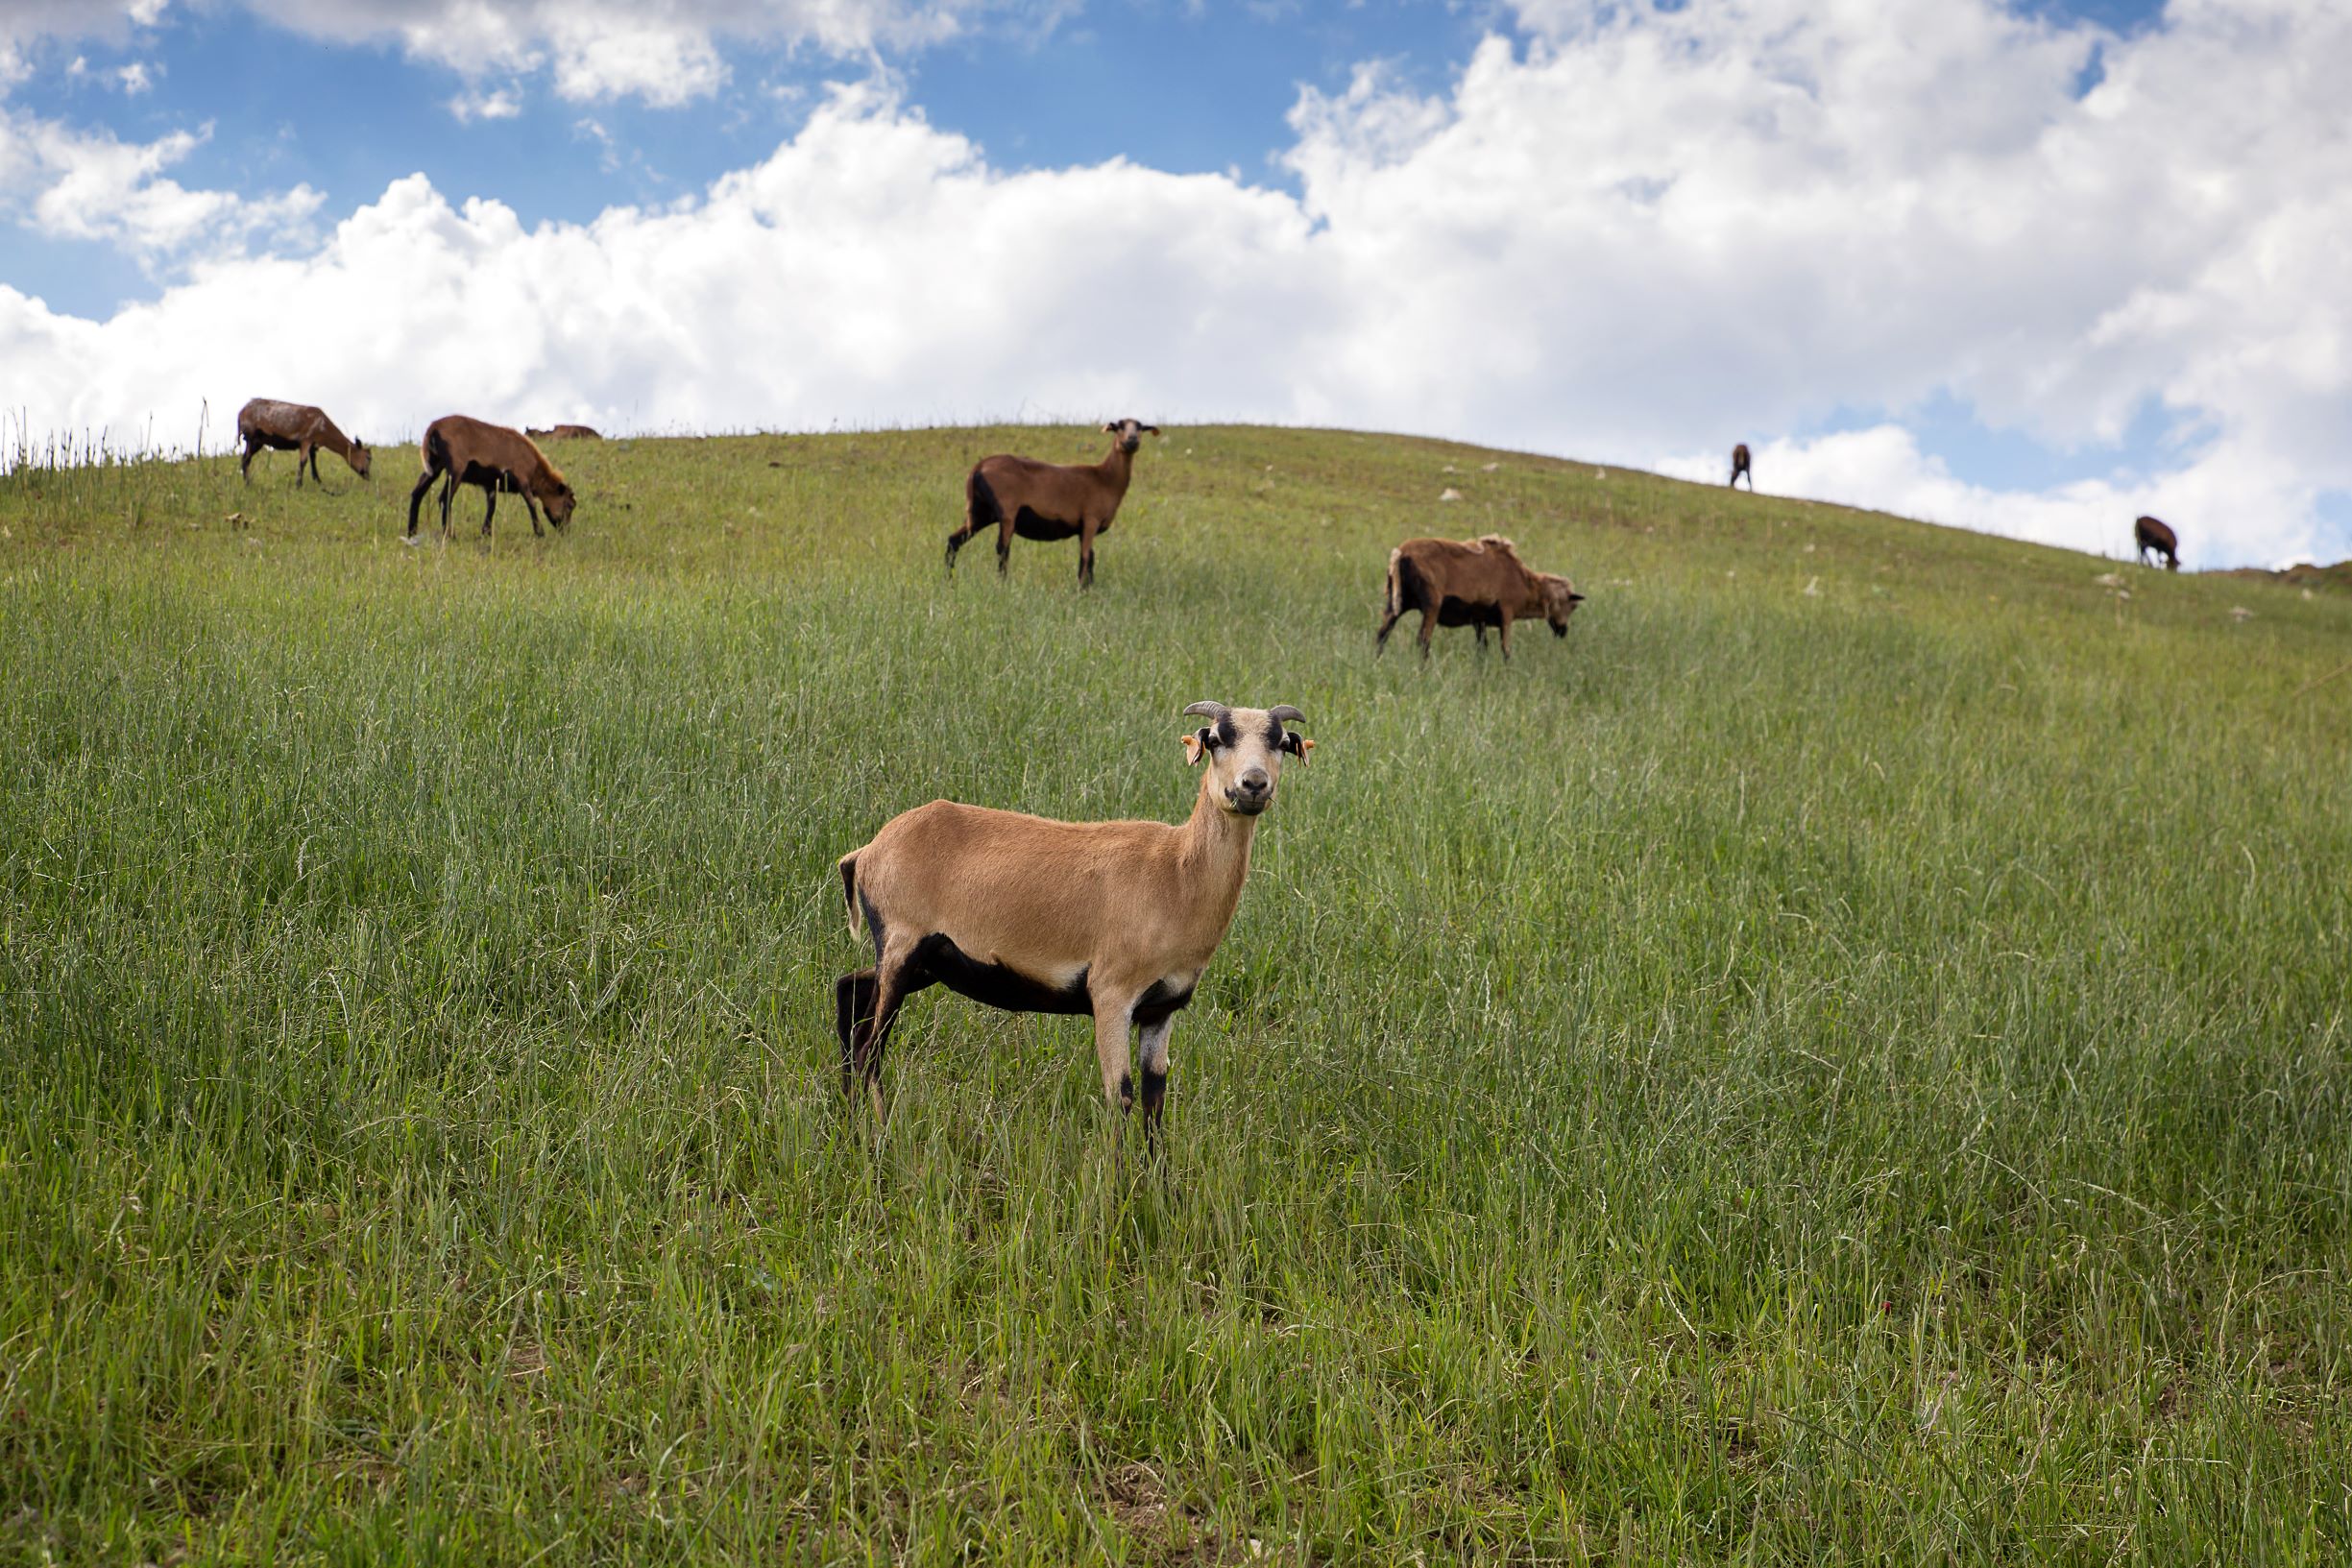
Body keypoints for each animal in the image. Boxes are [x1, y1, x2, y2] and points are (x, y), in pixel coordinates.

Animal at [238, 399, 371, 484]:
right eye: (368, 458)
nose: (368, 476)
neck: (324, 430)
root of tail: (241, 412)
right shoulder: (306, 439)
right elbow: (303, 462)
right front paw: (298, 485)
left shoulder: (313, 445)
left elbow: (313, 463)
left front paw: (318, 481)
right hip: (251, 436)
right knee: (246, 459)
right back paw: (248, 483)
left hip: (257, 441)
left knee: (245, 459)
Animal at [401, 413, 571, 543]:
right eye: (570, 505)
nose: (565, 530)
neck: (536, 472)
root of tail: (433, 427)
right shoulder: (521, 478)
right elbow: (531, 504)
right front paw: (540, 533)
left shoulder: (490, 484)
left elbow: (491, 507)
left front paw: (486, 533)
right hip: (456, 467)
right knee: (444, 498)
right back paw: (449, 535)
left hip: (435, 465)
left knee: (417, 493)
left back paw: (412, 533)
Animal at [837, 700, 1317, 1142]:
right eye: (1216, 739)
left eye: (1280, 742)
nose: (1253, 785)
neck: (1177, 873)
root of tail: (866, 852)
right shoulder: (1111, 994)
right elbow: (1120, 1096)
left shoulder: (1161, 1009)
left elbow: (1154, 1100)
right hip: (902, 948)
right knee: (869, 1048)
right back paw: (878, 1140)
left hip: (928, 963)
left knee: (848, 994)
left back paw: (851, 1123)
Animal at [935, 416, 1156, 588]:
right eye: (1119, 426)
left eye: (1140, 426)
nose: (1132, 439)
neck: (1105, 478)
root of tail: (979, 467)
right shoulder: (1090, 520)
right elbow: (1086, 558)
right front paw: (1081, 591)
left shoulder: (1083, 527)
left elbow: (1091, 558)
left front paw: (1090, 589)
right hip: (1007, 510)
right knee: (1002, 548)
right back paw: (1003, 585)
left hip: (980, 513)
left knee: (954, 540)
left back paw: (948, 581)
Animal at [1373, 541, 1589, 663]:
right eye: (1572, 606)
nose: (1562, 632)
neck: (1528, 586)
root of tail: (1401, 553)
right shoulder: (1506, 612)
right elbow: (1506, 650)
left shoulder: (1479, 620)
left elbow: (1482, 648)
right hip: (1431, 603)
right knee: (1423, 640)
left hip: (1399, 601)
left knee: (1382, 633)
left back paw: (1377, 662)